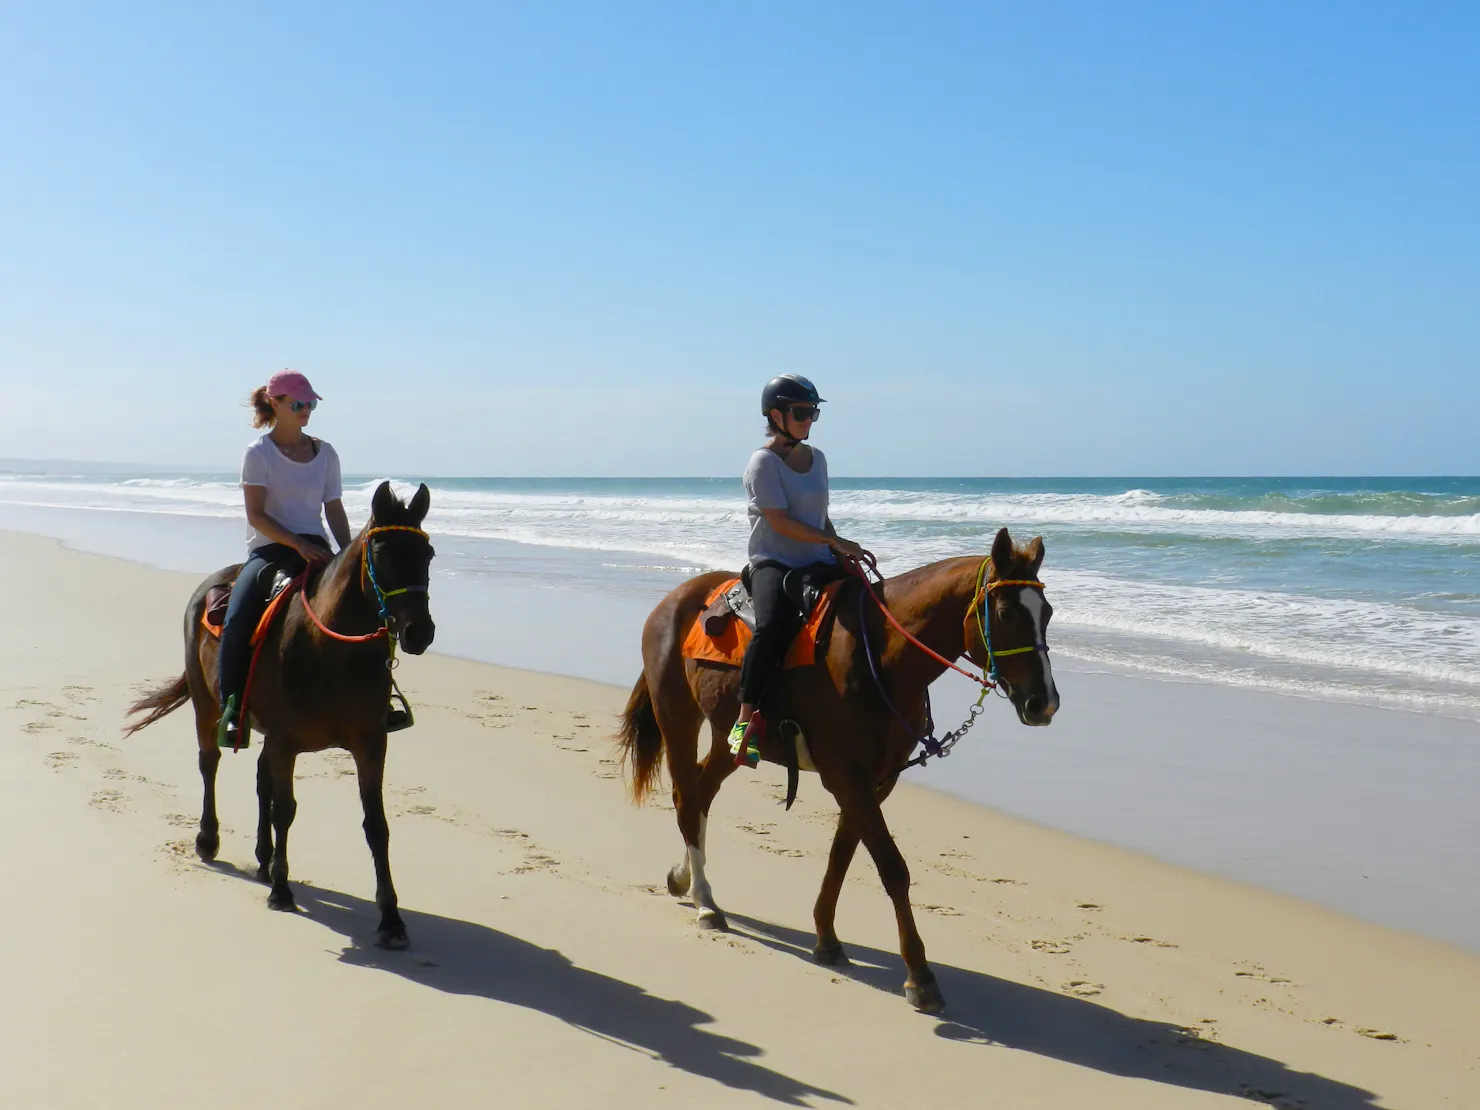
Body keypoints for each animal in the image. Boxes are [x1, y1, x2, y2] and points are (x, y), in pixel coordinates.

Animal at [125, 481, 437, 948]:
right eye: (381, 554)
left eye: (428, 554)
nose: (420, 632)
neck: (332, 651)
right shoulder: (287, 741)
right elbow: (285, 810)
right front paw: (281, 891)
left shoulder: (370, 743)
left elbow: (375, 824)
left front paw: (391, 918)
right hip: (207, 705)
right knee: (210, 763)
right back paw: (209, 840)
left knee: (260, 778)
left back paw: (263, 856)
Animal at [616, 527, 1058, 1012]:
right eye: (1006, 613)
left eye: (1048, 613)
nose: (1044, 702)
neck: (879, 657)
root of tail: (674, 598)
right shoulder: (847, 776)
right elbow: (892, 867)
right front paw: (920, 975)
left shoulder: (877, 780)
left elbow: (842, 856)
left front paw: (826, 937)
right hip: (677, 717)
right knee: (687, 796)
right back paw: (706, 902)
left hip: (725, 737)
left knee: (702, 792)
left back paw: (686, 881)